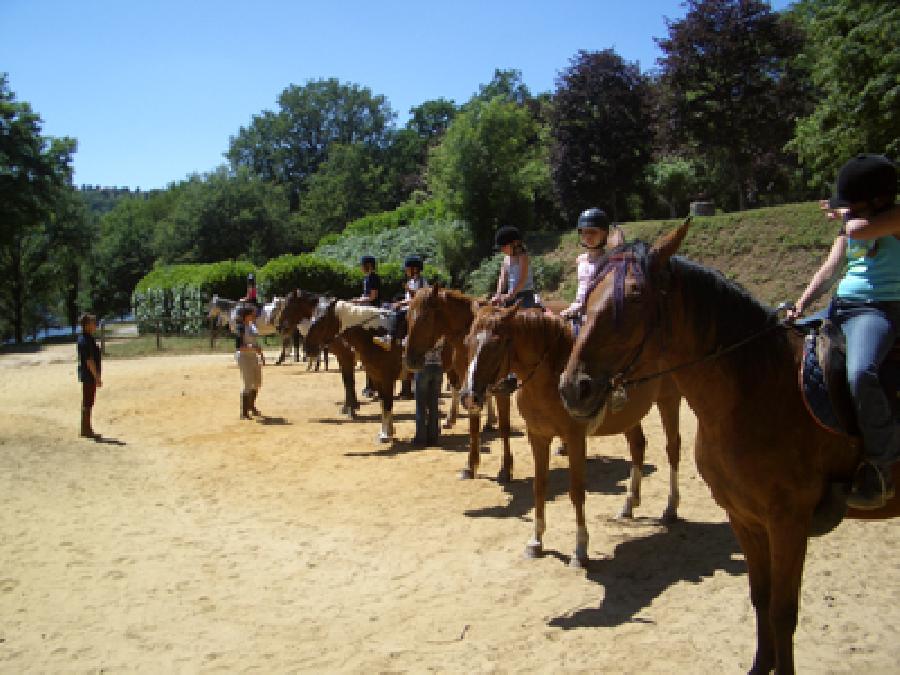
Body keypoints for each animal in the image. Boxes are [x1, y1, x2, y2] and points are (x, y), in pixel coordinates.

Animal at [304, 302, 402, 444]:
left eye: (321, 322)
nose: (307, 348)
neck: (376, 335)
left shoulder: (386, 378)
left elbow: (387, 404)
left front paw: (384, 434)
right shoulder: (377, 378)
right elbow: (383, 403)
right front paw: (388, 431)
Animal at [406, 288, 516, 484]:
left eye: (425, 318)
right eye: (407, 317)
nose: (410, 360)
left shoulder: (501, 389)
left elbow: (505, 428)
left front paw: (506, 469)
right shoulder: (469, 383)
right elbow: (473, 426)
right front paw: (470, 466)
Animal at [458, 304, 684, 568]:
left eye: (497, 343)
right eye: (467, 341)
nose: (469, 397)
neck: (551, 377)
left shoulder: (575, 438)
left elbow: (576, 492)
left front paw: (580, 550)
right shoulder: (538, 436)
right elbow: (539, 486)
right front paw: (535, 542)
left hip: (669, 400)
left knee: (673, 448)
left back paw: (670, 508)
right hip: (631, 415)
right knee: (638, 447)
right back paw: (629, 505)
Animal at [560, 223, 896, 675]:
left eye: (635, 296)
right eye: (589, 290)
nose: (572, 388)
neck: (760, 391)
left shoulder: (789, 523)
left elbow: (783, 612)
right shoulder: (744, 518)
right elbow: (761, 599)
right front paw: (760, 665)